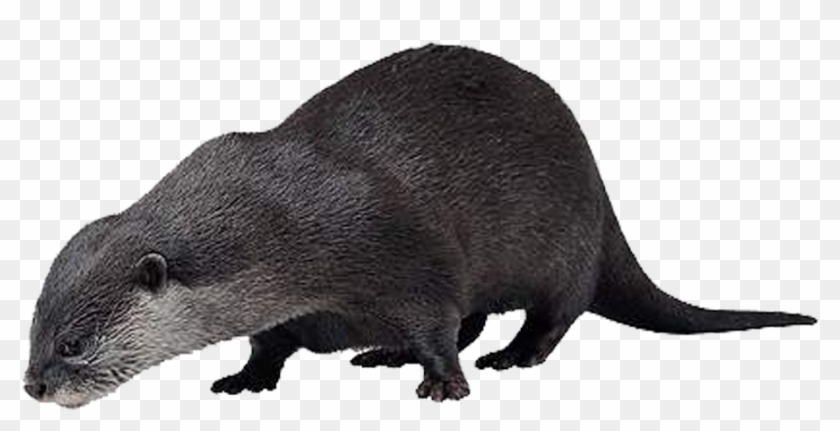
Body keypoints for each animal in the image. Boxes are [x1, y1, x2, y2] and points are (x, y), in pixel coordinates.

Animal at [25, 44, 815, 407]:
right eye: (34, 331)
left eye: (74, 343)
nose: (33, 387)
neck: (286, 228)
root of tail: (599, 188)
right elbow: (270, 340)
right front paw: (247, 376)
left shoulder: (401, 249)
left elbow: (437, 316)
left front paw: (444, 384)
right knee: (479, 313)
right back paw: (385, 353)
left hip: (563, 241)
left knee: (556, 311)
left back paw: (511, 357)